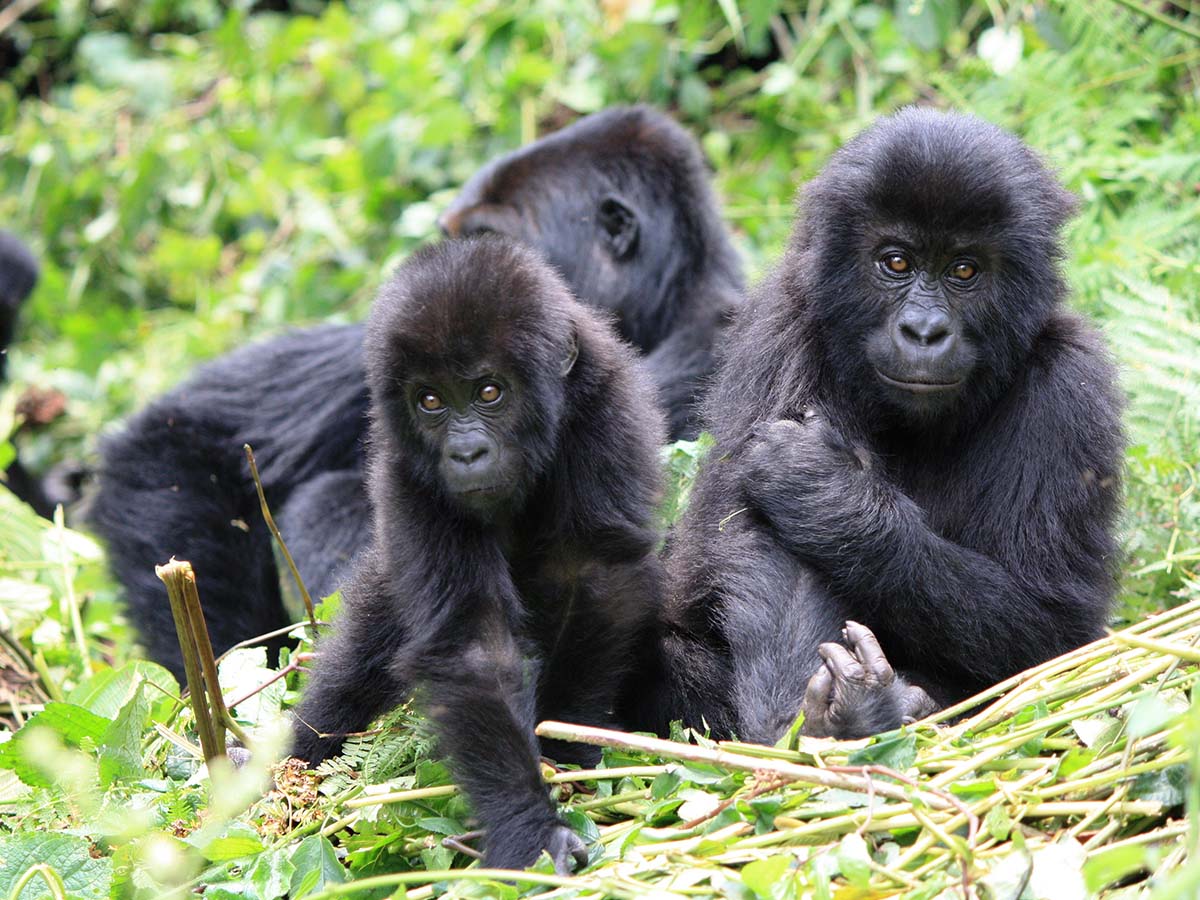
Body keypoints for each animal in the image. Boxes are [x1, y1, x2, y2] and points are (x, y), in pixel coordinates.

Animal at [291, 237, 667, 873]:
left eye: (490, 392)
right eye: (430, 401)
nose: (465, 453)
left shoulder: (604, 408)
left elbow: (596, 580)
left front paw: (564, 749)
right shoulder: (408, 472)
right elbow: (471, 646)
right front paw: (528, 825)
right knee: (359, 659)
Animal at [648, 109, 1123, 744]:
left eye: (964, 270)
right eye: (896, 263)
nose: (924, 331)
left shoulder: (1072, 386)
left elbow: (1055, 631)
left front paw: (831, 501)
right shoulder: (786, 325)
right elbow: (772, 551)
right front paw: (811, 725)